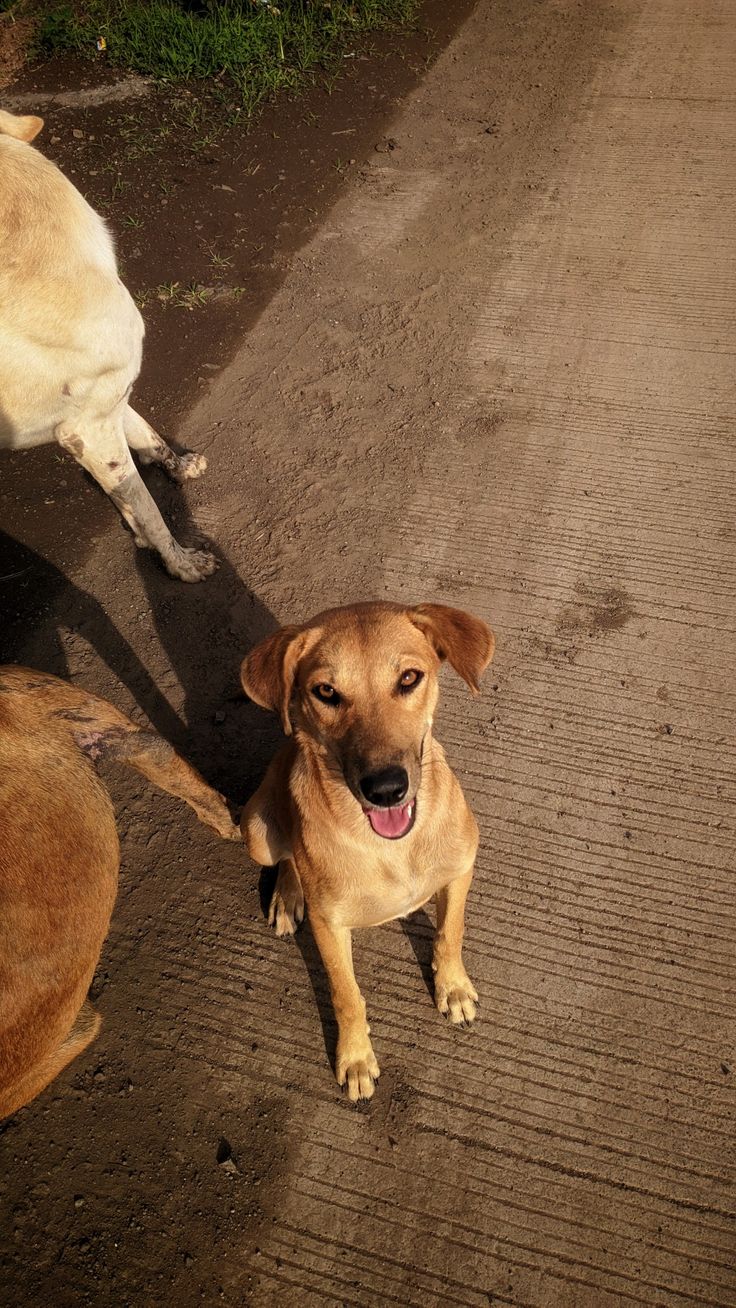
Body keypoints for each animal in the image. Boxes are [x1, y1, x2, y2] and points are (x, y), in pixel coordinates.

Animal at [0, 108, 217, 583]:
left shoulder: (107, 403)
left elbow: (146, 436)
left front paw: (177, 467)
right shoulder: (88, 430)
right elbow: (146, 505)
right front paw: (179, 561)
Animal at [241, 606, 494, 1098]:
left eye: (409, 678)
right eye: (326, 691)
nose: (386, 789)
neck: (393, 848)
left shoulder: (459, 872)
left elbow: (450, 934)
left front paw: (452, 988)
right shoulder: (329, 926)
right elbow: (346, 995)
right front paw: (355, 1057)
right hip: (256, 831)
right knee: (286, 856)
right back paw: (287, 896)